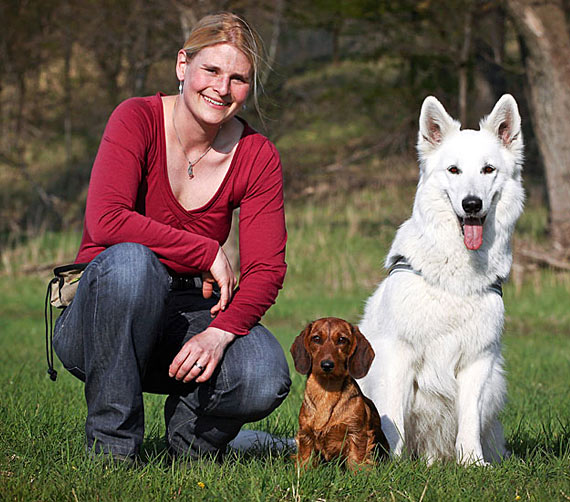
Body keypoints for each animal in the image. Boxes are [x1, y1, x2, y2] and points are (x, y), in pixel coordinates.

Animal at [360, 95, 524, 466]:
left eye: (488, 169)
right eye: (454, 170)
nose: (472, 204)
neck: (456, 279)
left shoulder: (479, 360)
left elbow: (469, 418)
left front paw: (473, 463)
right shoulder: (398, 355)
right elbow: (393, 419)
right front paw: (392, 464)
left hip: (496, 381)